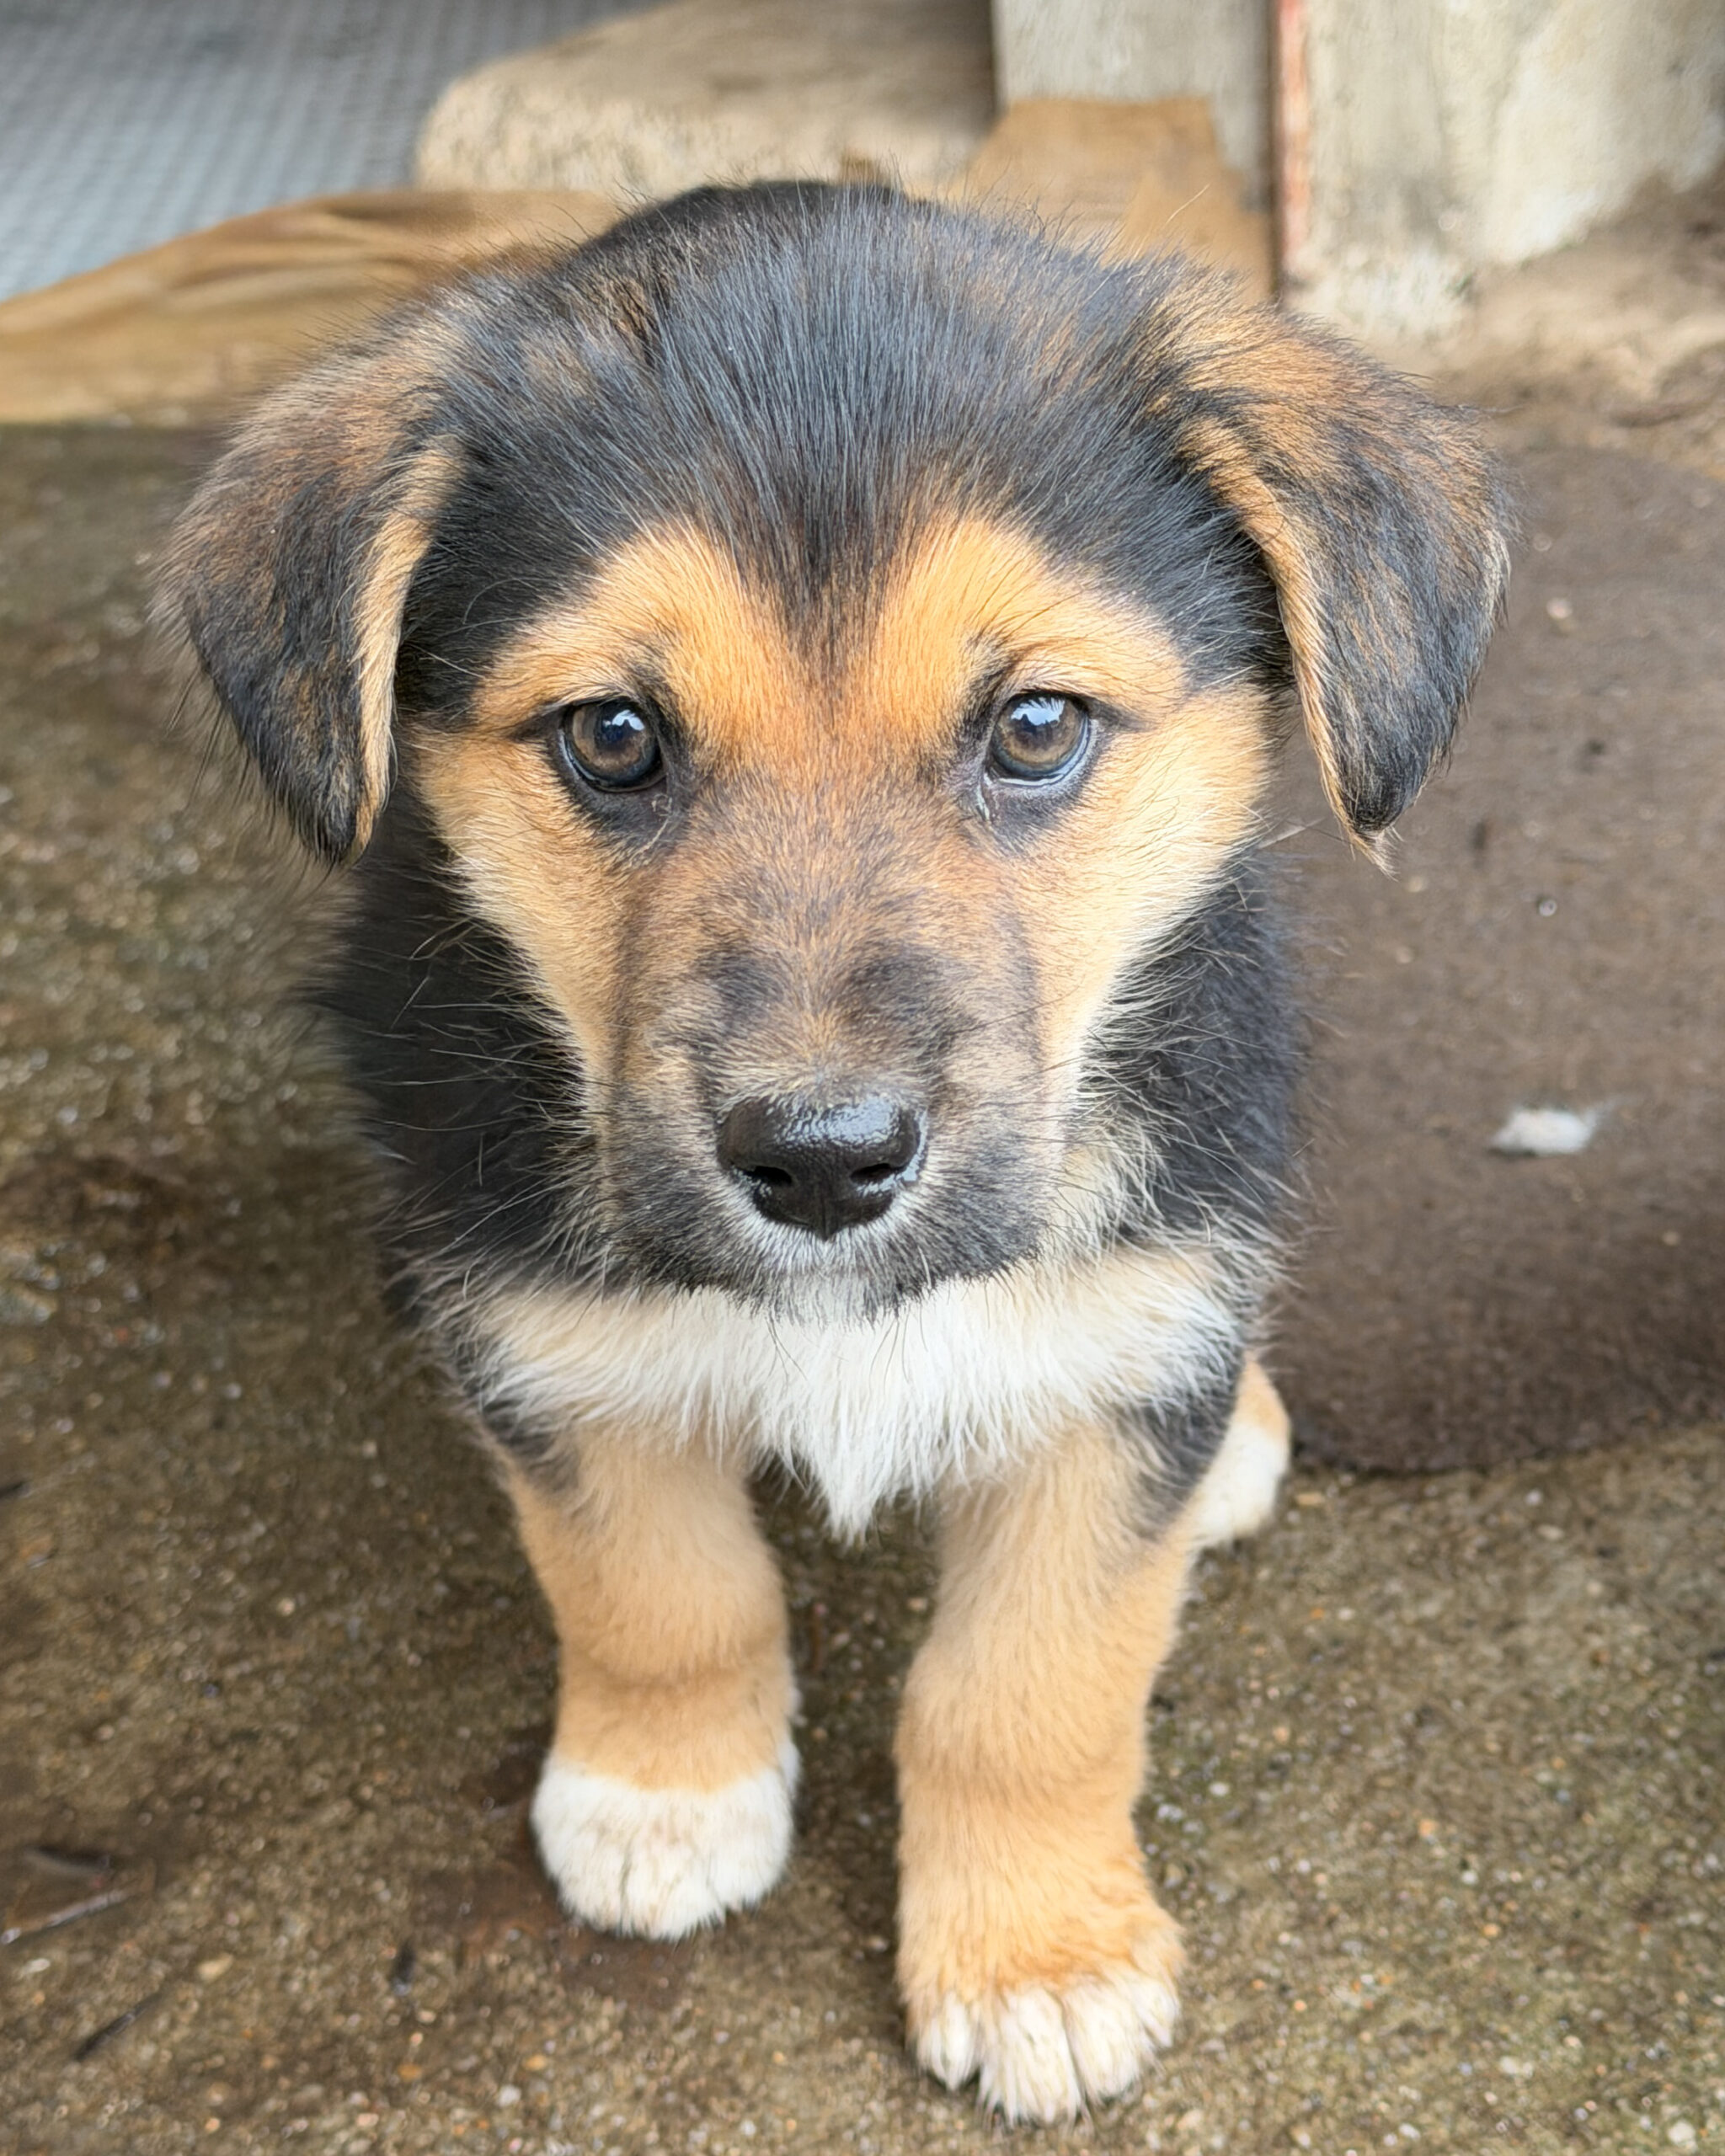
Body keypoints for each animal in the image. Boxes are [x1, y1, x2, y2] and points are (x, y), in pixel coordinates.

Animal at [159, 182, 1506, 2122]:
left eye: (1035, 726)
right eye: (612, 736)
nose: (817, 1161)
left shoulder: (1114, 1377)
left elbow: (1032, 1690)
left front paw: (1034, 1956)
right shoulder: (551, 1345)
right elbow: (658, 1593)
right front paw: (663, 1796)